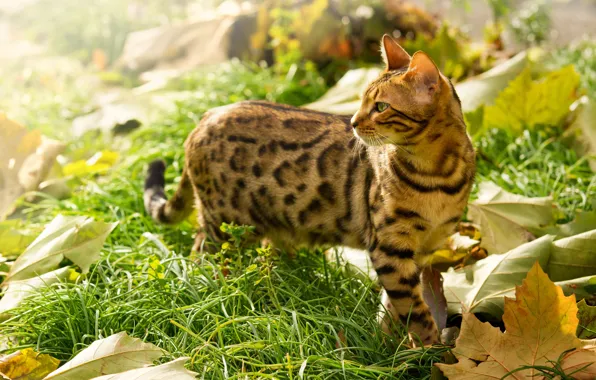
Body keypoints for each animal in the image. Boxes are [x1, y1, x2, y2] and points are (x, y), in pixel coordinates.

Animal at [144, 35, 474, 344]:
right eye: (362, 102)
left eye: (381, 107)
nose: (352, 122)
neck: (437, 175)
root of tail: (205, 117)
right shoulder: (389, 247)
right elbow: (415, 311)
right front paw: (430, 350)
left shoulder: (423, 248)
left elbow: (395, 306)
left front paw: (390, 343)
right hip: (225, 223)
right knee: (200, 253)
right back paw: (212, 289)